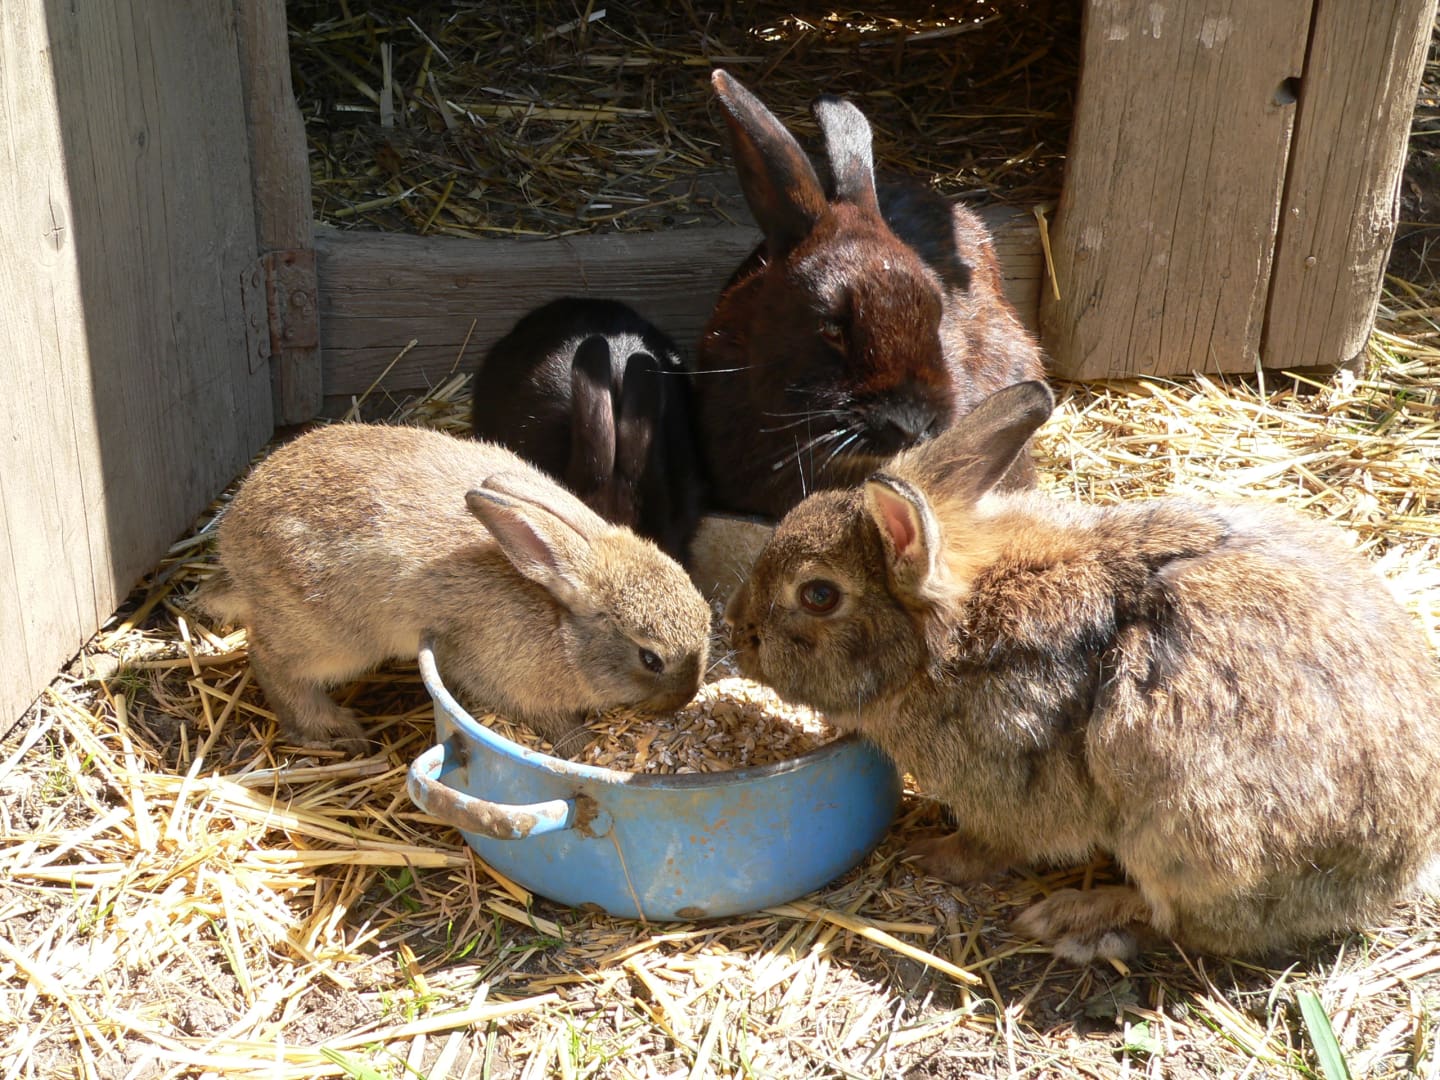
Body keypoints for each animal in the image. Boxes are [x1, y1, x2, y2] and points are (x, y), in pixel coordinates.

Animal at [196, 422, 712, 757]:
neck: (559, 616)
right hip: (331, 637)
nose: (684, 700)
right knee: (270, 661)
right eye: (650, 659)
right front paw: (578, 744)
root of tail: (232, 542)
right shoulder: (498, 677)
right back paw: (332, 729)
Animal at [725, 380, 1440, 961]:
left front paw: (928, 853)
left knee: (1176, 919)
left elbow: (989, 848)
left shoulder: (1005, 787)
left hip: (1184, 827)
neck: (945, 642)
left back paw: (1071, 916)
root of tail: (1391, 869)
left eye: (819, 594)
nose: (739, 629)